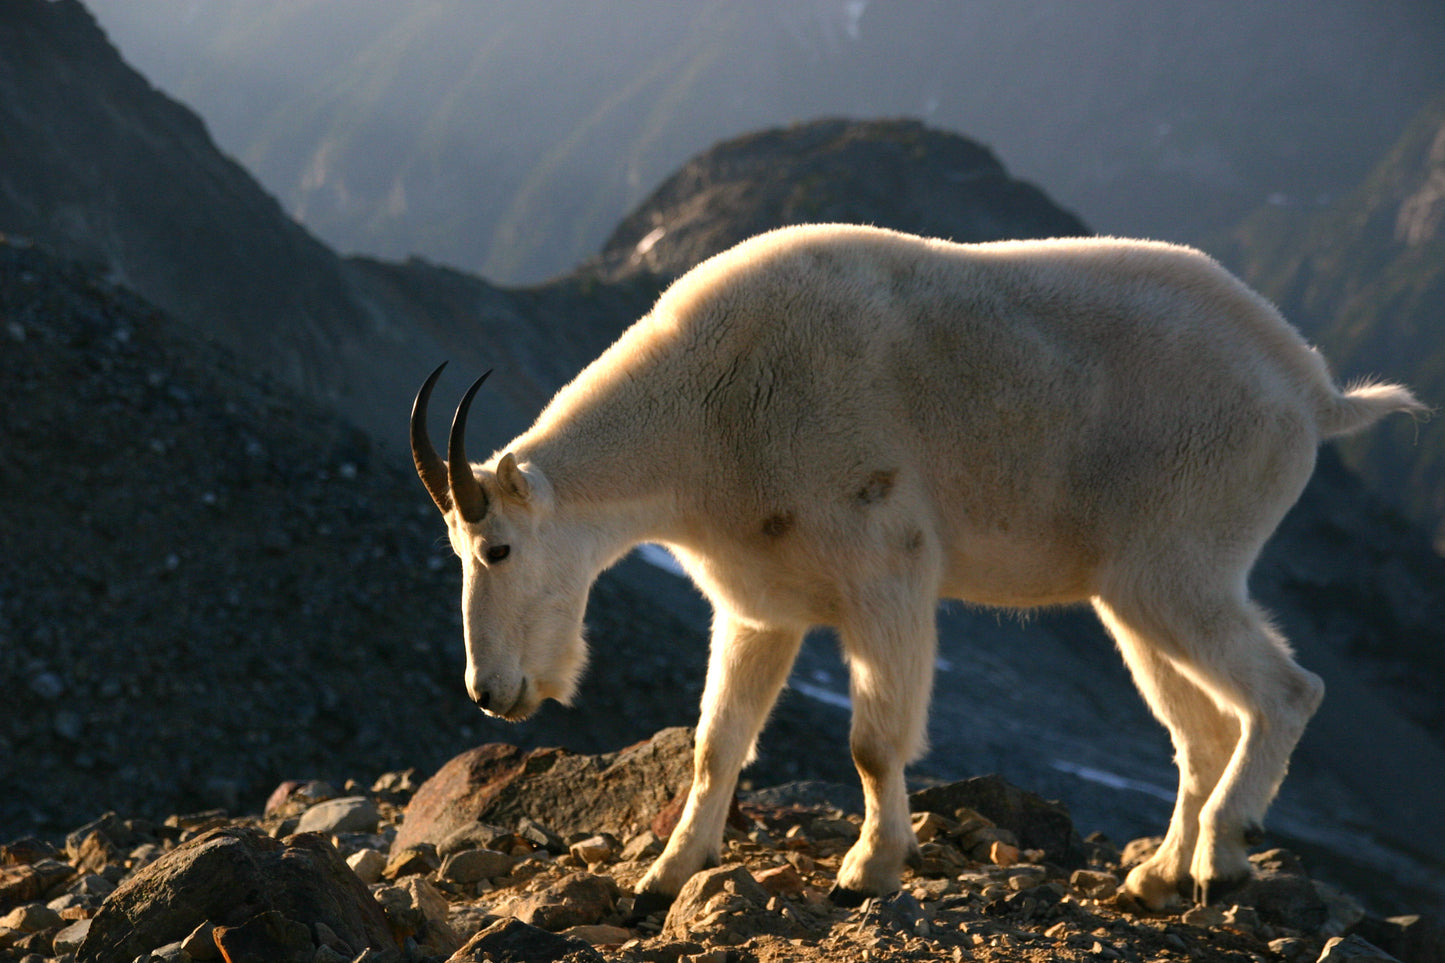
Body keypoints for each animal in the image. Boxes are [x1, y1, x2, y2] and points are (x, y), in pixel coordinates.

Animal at [410, 224, 1424, 909]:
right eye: (457, 552)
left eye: (498, 547)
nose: (490, 692)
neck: (709, 410)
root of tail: (1308, 391)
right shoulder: (760, 606)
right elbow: (714, 743)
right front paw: (663, 874)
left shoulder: (883, 570)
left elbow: (869, 740)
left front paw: (867, 868)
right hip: (1132, 595)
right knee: (1200, 730)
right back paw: (1154, 876)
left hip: (1180, 560)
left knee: (1285, 690)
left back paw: (1221, 853)